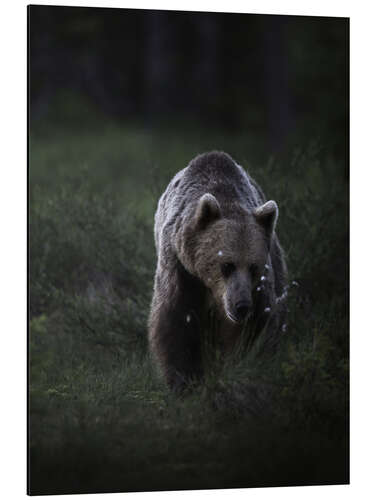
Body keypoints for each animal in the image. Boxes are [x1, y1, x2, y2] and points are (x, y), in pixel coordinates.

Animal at [149, 150, 288, 392]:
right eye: (227, 265)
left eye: (253, 267)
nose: (241, 306)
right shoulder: (180, 269)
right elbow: (174, 320)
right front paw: (183, 381)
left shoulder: (260, 287)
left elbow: (255, 327)